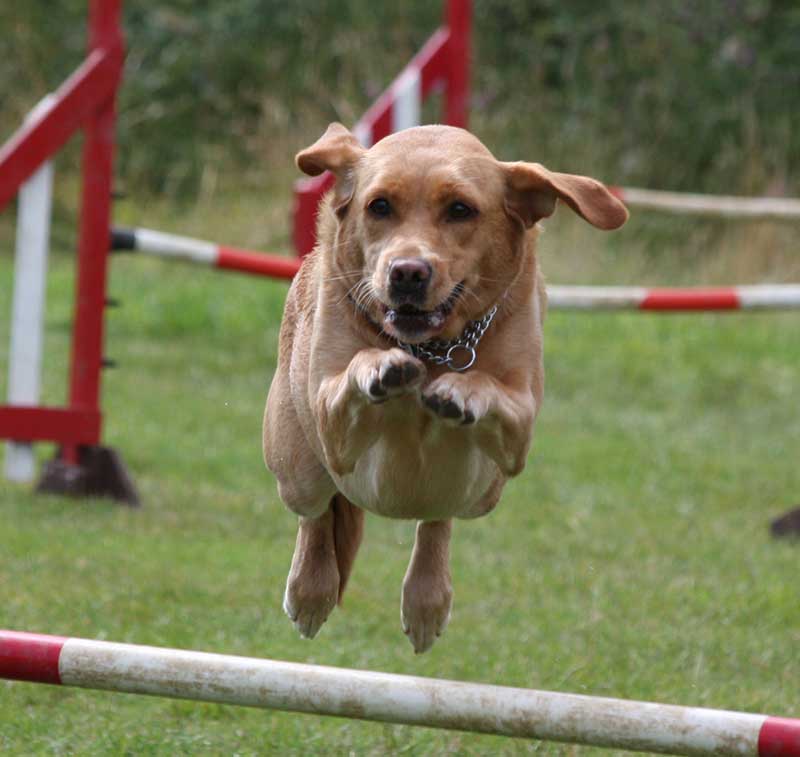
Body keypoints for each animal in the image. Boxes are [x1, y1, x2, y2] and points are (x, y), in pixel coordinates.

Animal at [262, 122, 624, 648]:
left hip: (478, 496)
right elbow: (353, 373)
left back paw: (426, 601)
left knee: (437, 518)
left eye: (460, 210)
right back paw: (310, 592)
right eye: (379, 206)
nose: (407, 273)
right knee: (317, 511)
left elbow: (493, 392)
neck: (430, 350)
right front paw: (381, 367)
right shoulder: (332, 425)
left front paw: (462, 391)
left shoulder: (519, 433)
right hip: (295, 467)